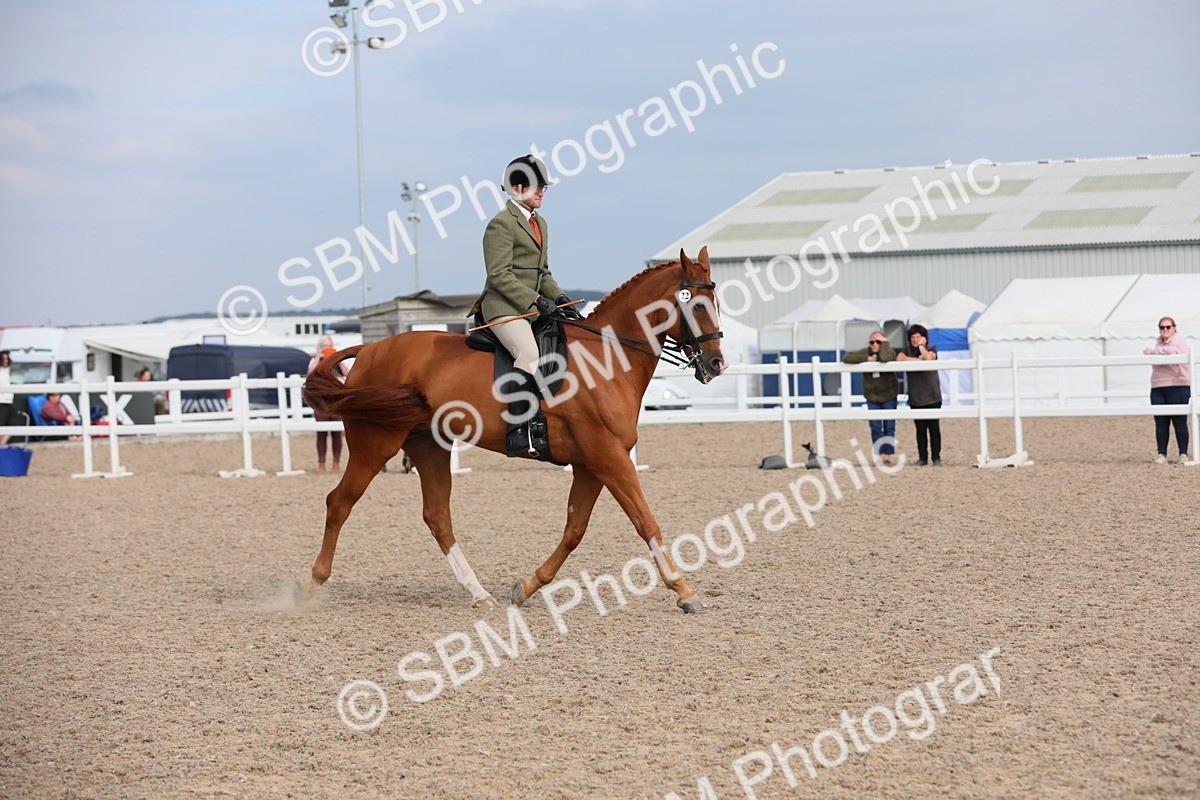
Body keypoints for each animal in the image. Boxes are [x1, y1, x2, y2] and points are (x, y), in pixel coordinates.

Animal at [301, 246, 726, 613]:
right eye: (696, 304)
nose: (717, 364)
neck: (606, 358)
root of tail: (368, 350)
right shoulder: (608, 457)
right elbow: (644, 520)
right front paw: (684, 590)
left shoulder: (591, 464)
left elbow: (575, 529)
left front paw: (526, 587)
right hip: (375, 444)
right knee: (339, 502)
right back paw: (312, 583)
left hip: (428, 445)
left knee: (437, 516)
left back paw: (478, 593)